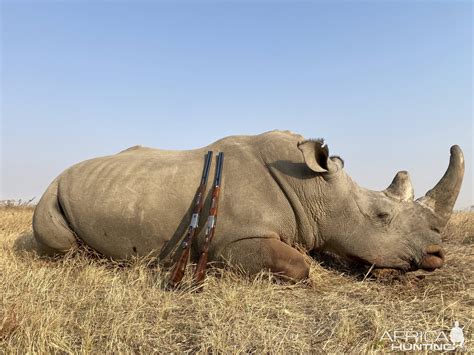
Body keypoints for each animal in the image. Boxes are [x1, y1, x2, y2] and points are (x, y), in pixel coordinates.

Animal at [32, 131, 462, 280]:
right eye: (382, 216)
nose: (436, 254)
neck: (314, 190)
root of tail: (62, 172)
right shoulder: (233, 241)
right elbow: (299, 264)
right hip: (50, 191)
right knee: (58, 238)